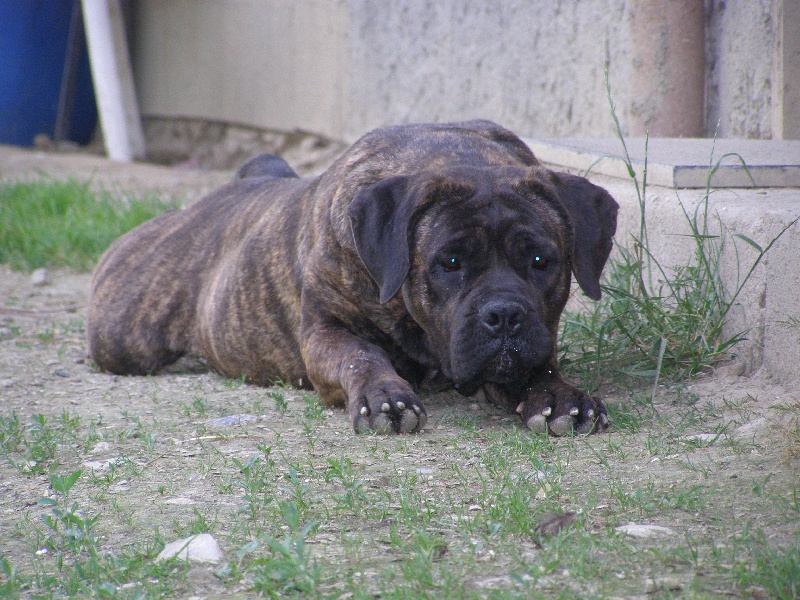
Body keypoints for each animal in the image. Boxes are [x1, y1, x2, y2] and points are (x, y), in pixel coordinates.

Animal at [87, 118, 620, 436]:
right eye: (449, 263)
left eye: (541, 261)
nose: (504, 314)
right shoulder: (324, 331)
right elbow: (359, 355)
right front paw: (385, 395)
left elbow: (541, 368)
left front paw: (561, 396)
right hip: (123, 337)